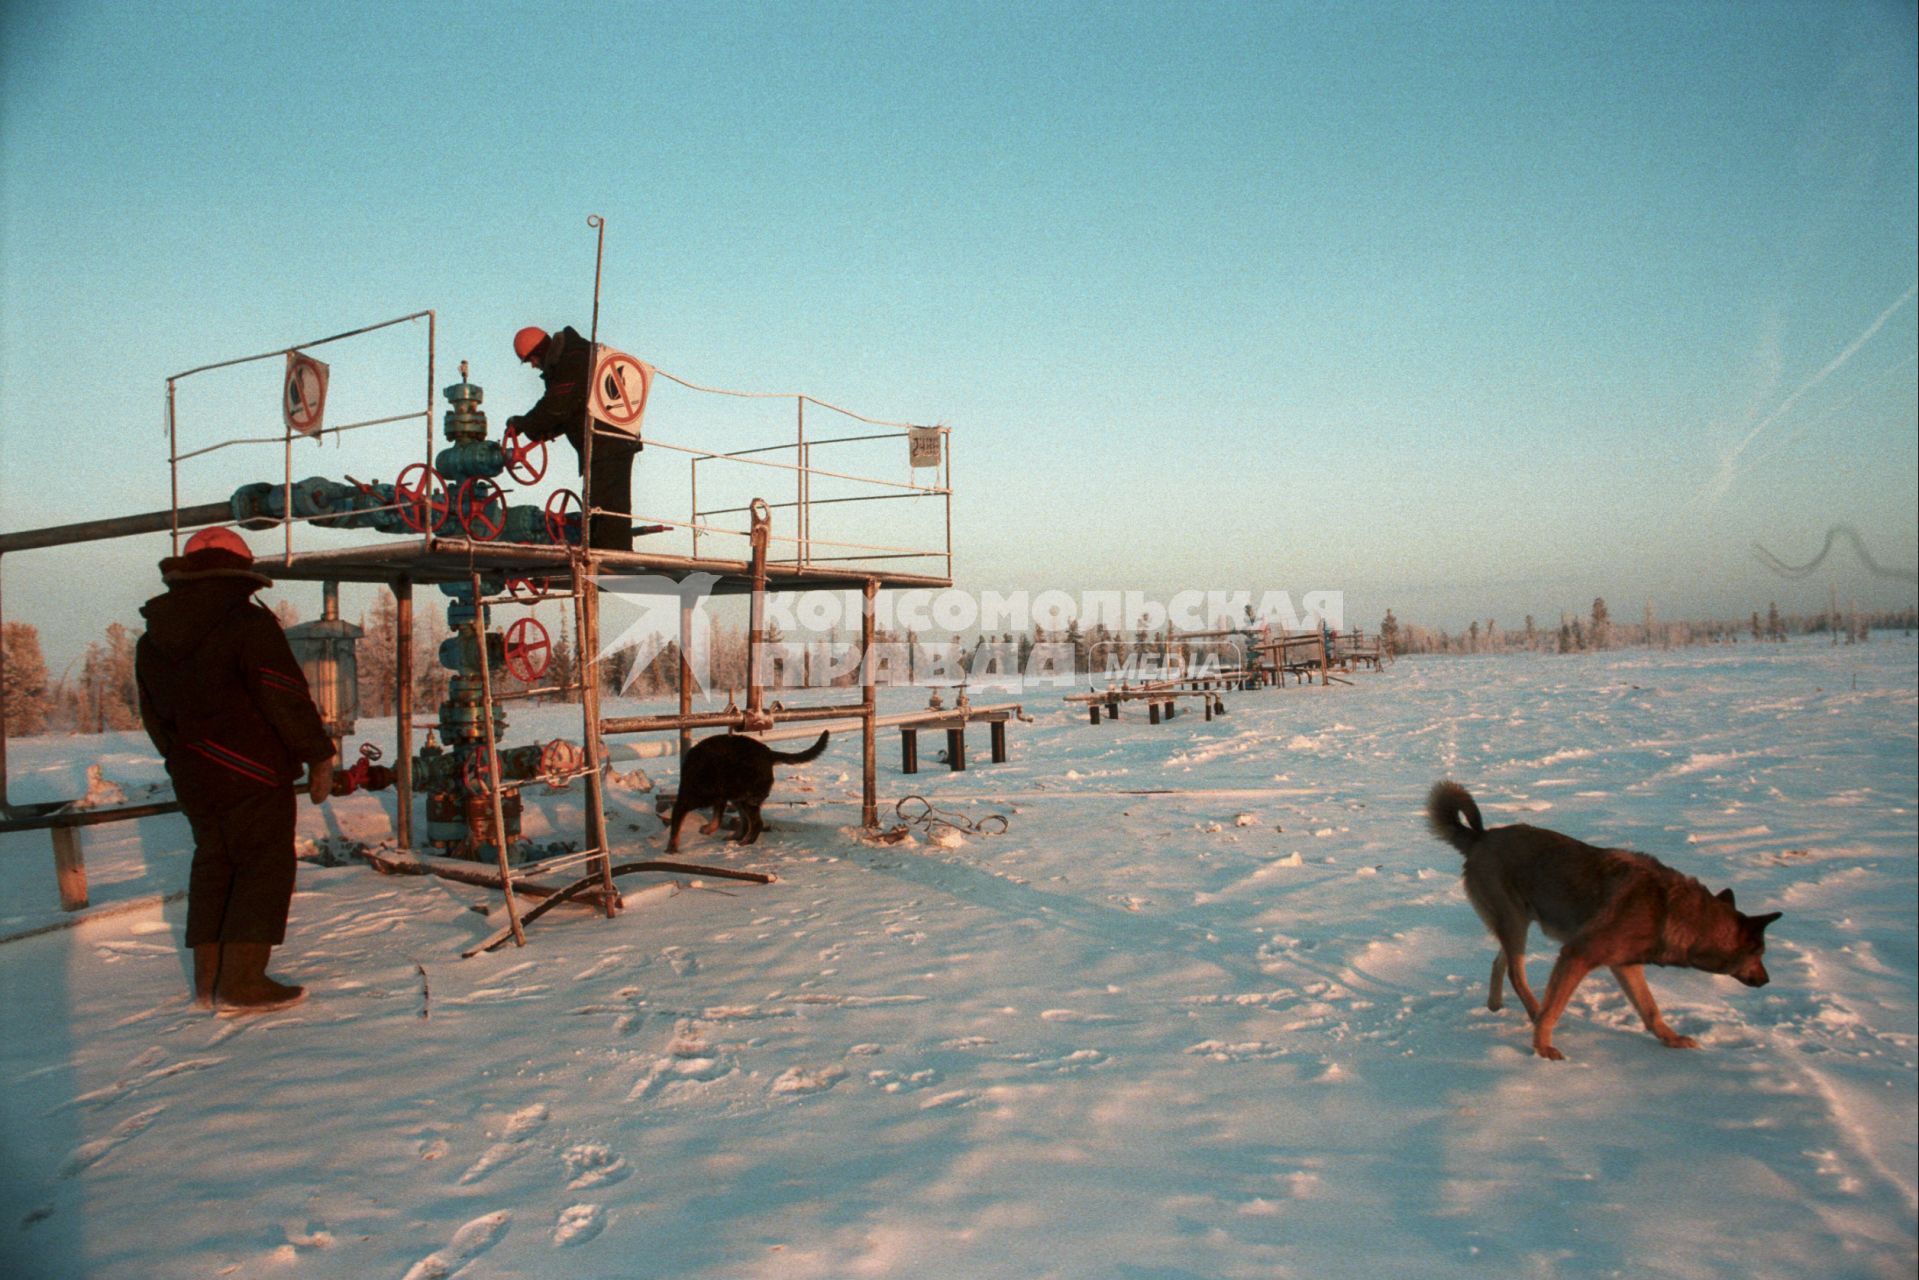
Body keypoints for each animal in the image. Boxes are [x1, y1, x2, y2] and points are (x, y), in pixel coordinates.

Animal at [663, 729, 829, 852]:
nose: (763, 796)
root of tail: (768, 753)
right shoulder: (709, 800)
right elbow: (714, 820)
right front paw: (707, 830)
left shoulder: (691, 801)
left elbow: (676, 828)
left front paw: (671, 848)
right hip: (740, 799)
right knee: (746, 822)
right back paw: (737, 837)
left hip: (745, 800)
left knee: (756, 823)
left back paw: (747, 842)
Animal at [1427, 782, 1780, 1059]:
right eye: (1759, 954)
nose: (1767, 980)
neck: (1672, 912)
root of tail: (1480, 837)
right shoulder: (1577, 954)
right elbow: (1553, 1011)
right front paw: (1543, 1049)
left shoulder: (1625, 965)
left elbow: (1651, 1010)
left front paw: (1672, 1040)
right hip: (1515, 923)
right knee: (1516, 974)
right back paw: (1531, 1011)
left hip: (1516, 924)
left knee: (1499, 962)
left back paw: (1496, 1007)